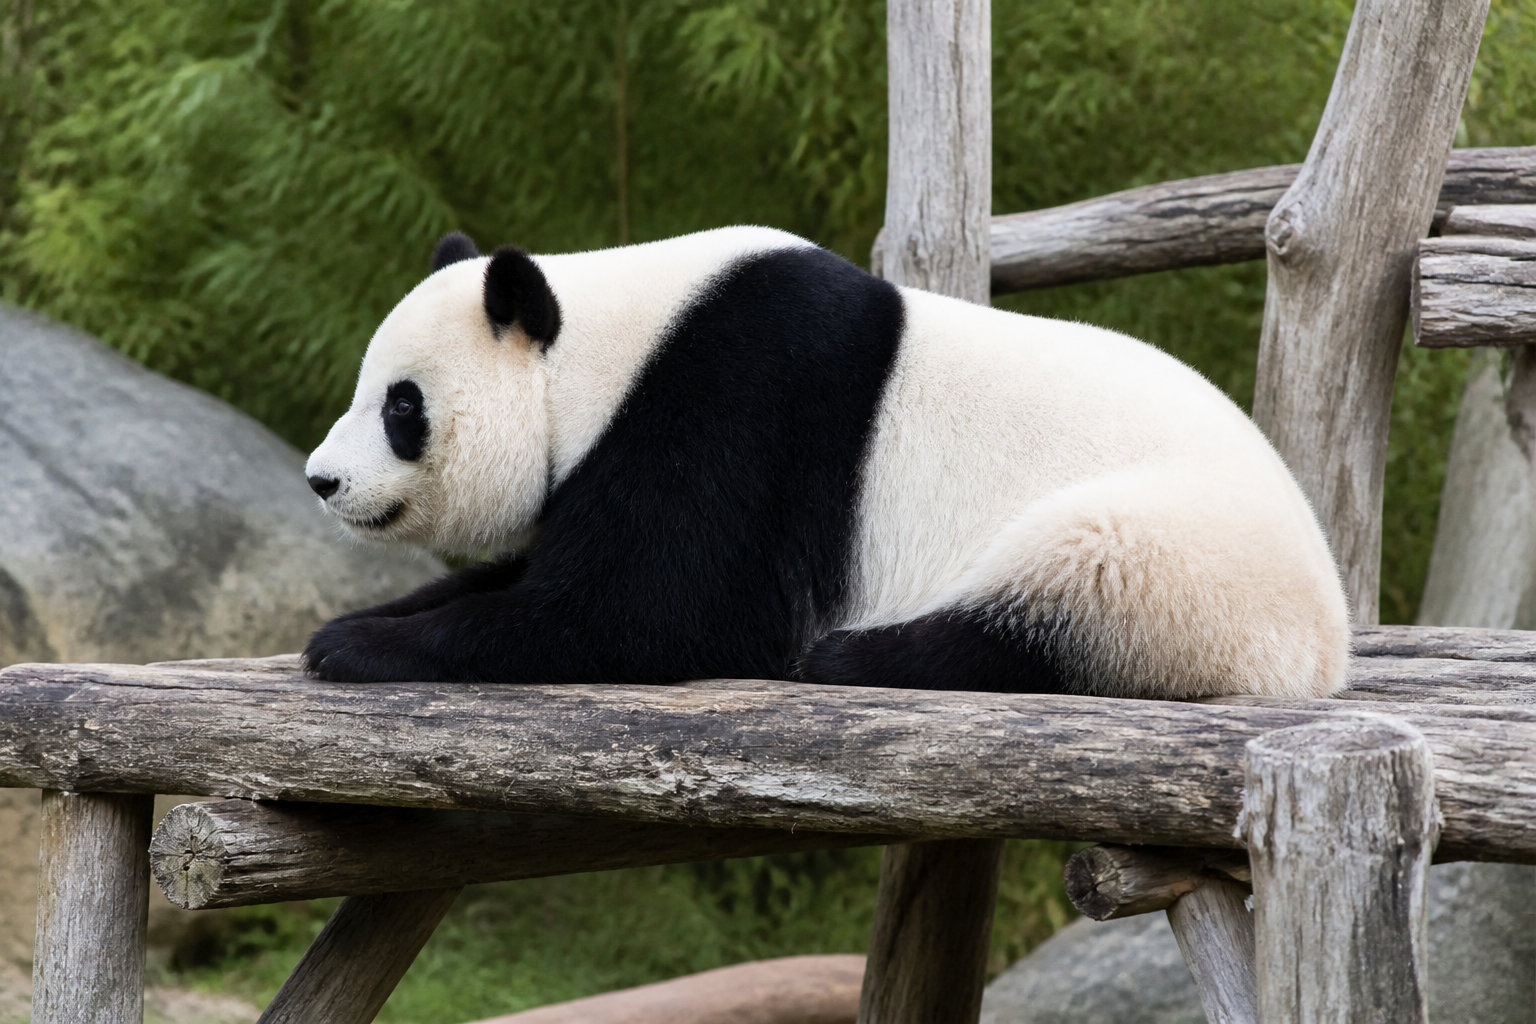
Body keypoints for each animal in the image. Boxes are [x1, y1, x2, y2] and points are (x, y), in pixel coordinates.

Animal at [302, 226, 1349, 698]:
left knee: (1071, 588)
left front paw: (357, 648)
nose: (322, 480)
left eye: (401, 406)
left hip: (1183, 552)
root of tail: (1329, 639)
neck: (606, 346)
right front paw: (359, 619)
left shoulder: (738, 403)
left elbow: (649, 611)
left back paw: (853, 653)